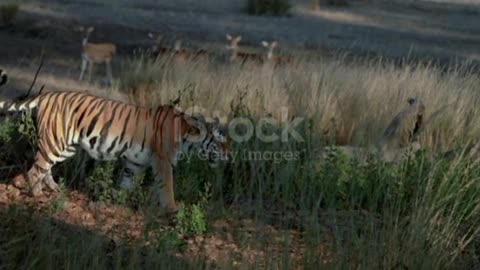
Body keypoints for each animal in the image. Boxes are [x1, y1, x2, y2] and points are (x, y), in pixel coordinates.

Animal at [0, 90, 230, 215]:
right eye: (221, 141)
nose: (229, 156)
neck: (187, 137)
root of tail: (48, 94)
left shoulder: (136, 163)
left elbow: (127, 183)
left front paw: (115, 202)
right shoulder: (163, 161)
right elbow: (167, 187)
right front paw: (173, 210)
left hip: (65, 147)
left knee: (44, 166)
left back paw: (53, 187)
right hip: (55, 141)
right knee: (35, 169)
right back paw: (36, 193)